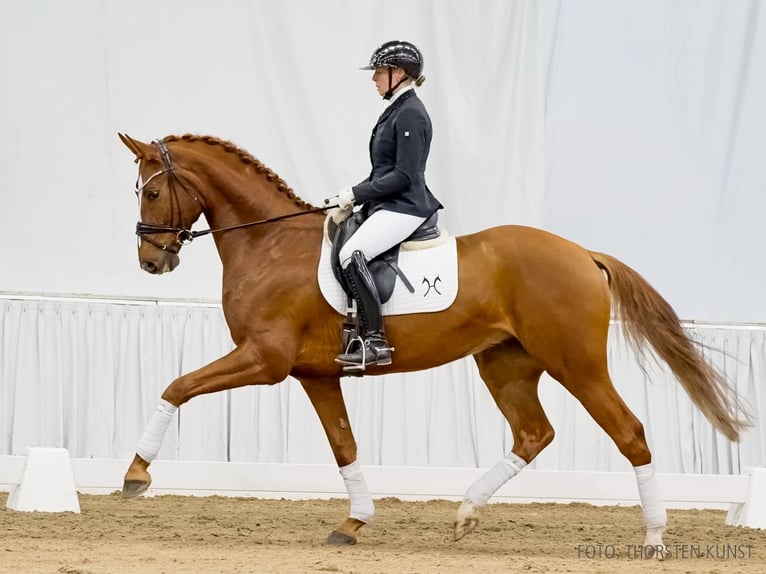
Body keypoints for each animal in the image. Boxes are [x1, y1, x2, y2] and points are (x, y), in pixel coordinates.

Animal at [118, 134, 752, 560]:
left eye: (152, 191)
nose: (151, 262)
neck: (268, 243)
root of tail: (582, 254)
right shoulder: (315, 375)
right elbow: (344, 446)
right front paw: (355, 522)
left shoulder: (265, 361)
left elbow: (176, 385)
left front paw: (135, 475)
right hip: (505, 365)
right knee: (534, 433)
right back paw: (467, 513)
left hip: (578, 364)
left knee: (630, 433)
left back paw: (654, 538)